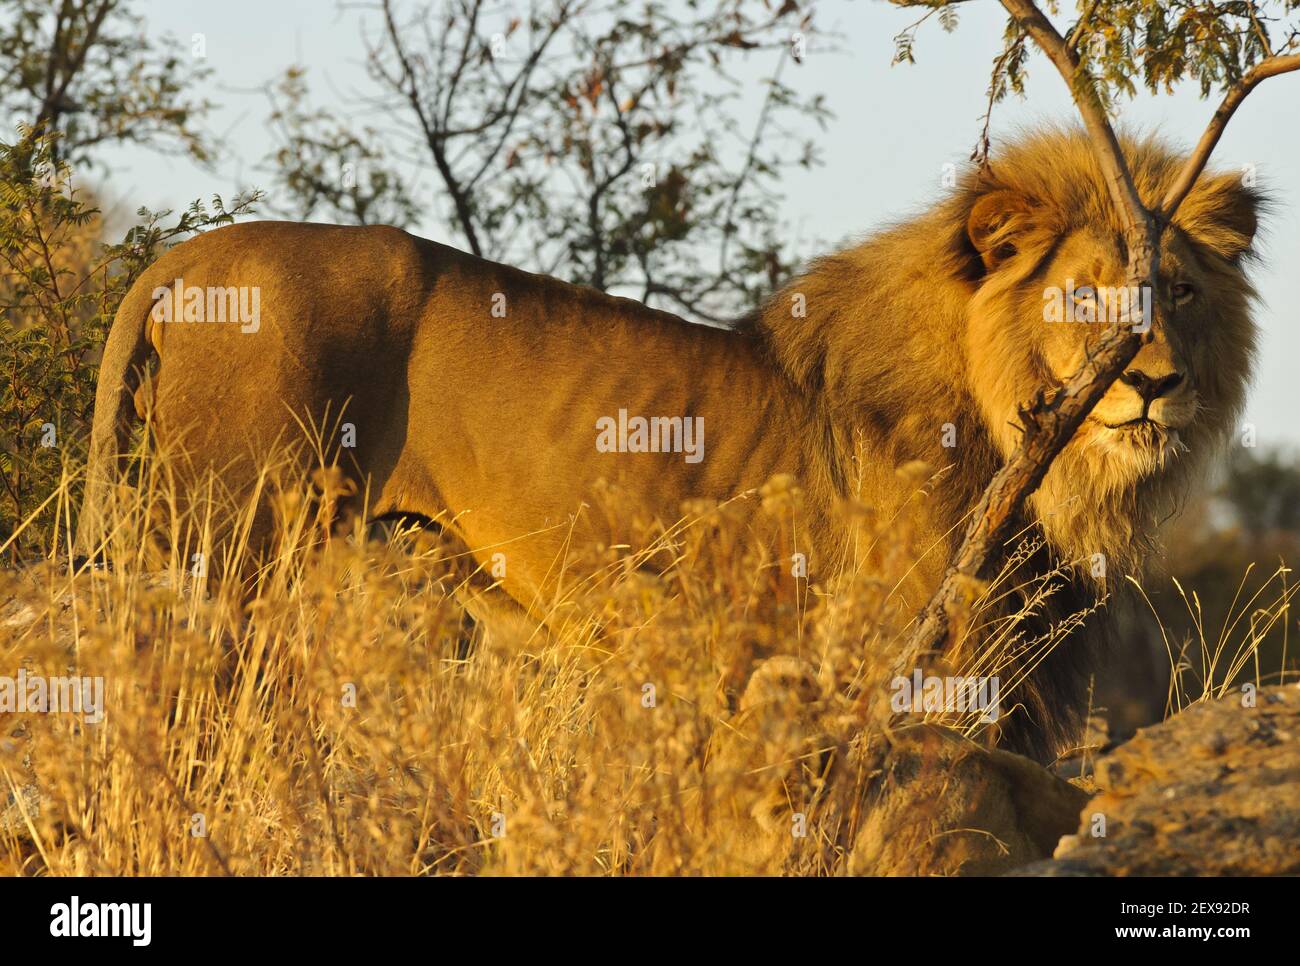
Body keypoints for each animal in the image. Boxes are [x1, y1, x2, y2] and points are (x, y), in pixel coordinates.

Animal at [76, 126, 1263, 764]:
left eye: (1179, 293)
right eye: (1085, 295)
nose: (1155, 383)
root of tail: (183, 258)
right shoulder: (923, 660)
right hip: (233, 547)